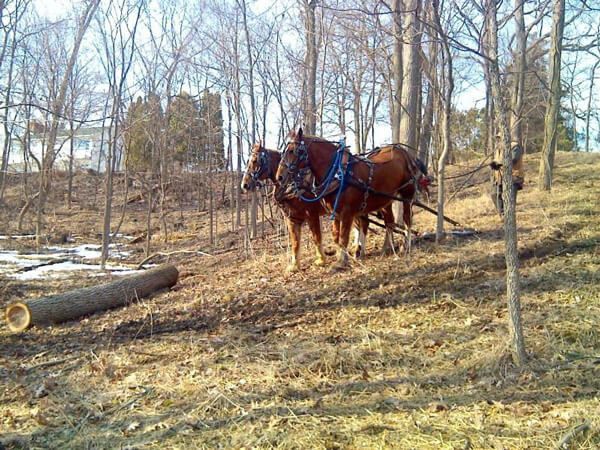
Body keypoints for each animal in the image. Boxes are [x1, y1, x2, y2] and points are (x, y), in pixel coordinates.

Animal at [241, 144, 396, 270]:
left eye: (254, 161)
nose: (244, 185)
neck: (294, 184)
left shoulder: (312, 214)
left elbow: (316, 237)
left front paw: (321, 259)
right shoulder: (292, 218)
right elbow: (295, 241)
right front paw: (294, 265)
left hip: (379, 205)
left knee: (385, 222)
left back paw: (382, 247)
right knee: (363, 225)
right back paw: (359, 249)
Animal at [278, 126, 426, 268]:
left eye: (292, 151)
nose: (279, 176)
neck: (338, 174)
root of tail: (404, 152)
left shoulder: (346, 212)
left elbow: (343, 236)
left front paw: (342, 262)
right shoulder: (335, 212)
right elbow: (336, 236)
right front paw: (341, 256)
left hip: (407, 194)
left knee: (407, 219)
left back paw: (406, 245)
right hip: (385, 200)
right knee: (389, 222)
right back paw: (385, 248)